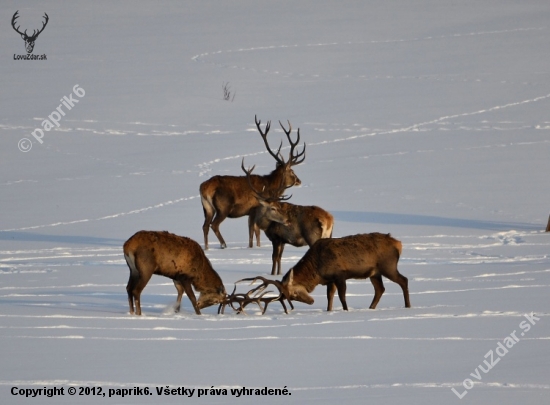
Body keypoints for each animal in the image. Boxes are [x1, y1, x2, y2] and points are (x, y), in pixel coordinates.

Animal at [202, 115, 308, 249]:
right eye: (292, 171)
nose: (299, 181)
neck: (270, 187)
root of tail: (204, 188)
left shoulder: (250, 212)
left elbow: (251, 232)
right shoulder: (255, 209)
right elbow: (255, 231)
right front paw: (255, 247)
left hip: (207, 208)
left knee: (205, 226)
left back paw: (206, 248)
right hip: (223, 207)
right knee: (214, 224)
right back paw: (223, 245)